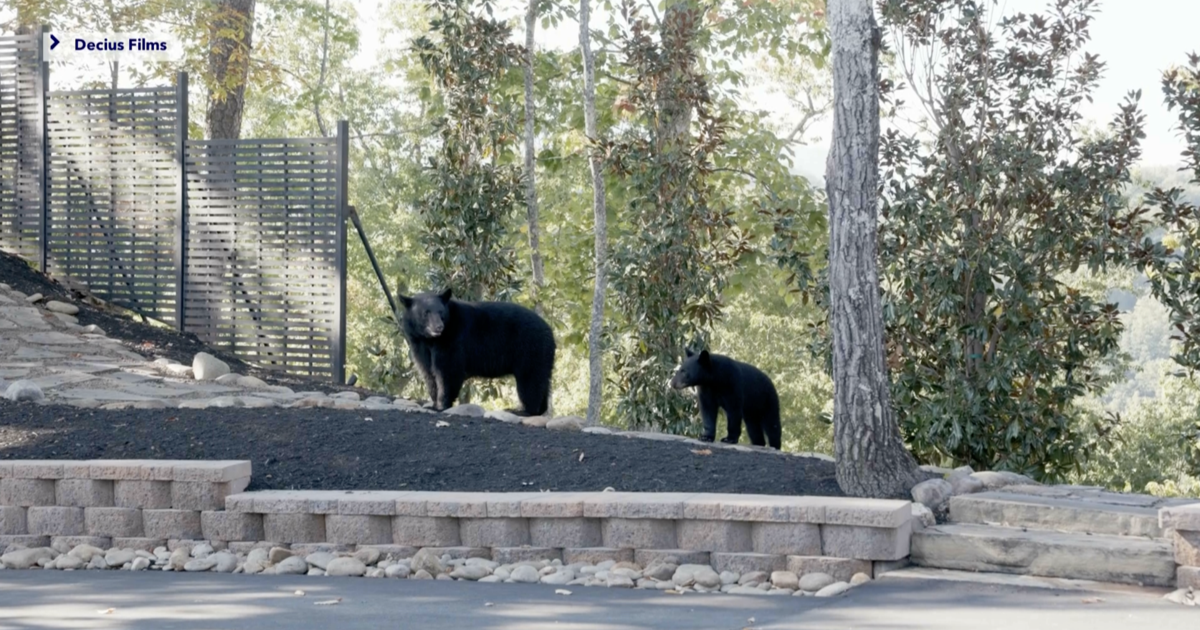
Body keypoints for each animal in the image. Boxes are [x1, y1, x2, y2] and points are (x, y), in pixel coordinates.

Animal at [397, 287, 555, 416]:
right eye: (426, 313)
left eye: (440, 312)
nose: (438, 327)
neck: (431, 340)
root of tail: (549, 331)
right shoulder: (419, 345)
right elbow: (428, 371)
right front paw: (434, 402)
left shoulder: (453, 340)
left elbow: (448, 371)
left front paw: (441, 405)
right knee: (542, 380)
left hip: (530, 349)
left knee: (530, 380)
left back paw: (523, 410)